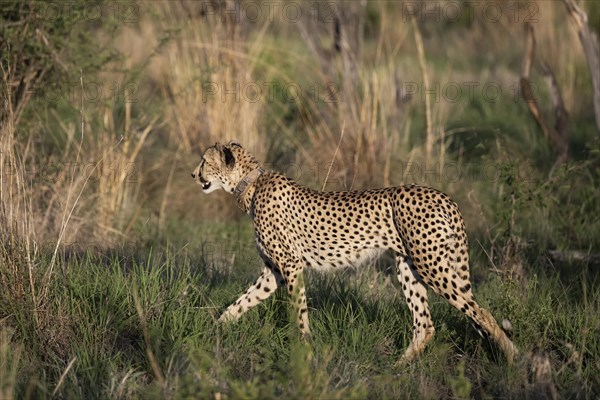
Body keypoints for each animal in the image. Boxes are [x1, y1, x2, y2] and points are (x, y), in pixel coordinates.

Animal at [193, 141, 520, 362]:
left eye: (204, 162)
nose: (194, 175)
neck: (250, 185)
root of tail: (443, 196)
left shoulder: (291, 266)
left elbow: (298, 313)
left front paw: (304, 351)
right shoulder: (273, 272)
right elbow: (239, 304)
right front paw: (214, 332)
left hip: (431, 266)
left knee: (480, 312)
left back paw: (514, 358)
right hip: (408, 267)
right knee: (425, 325)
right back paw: (396, 369)